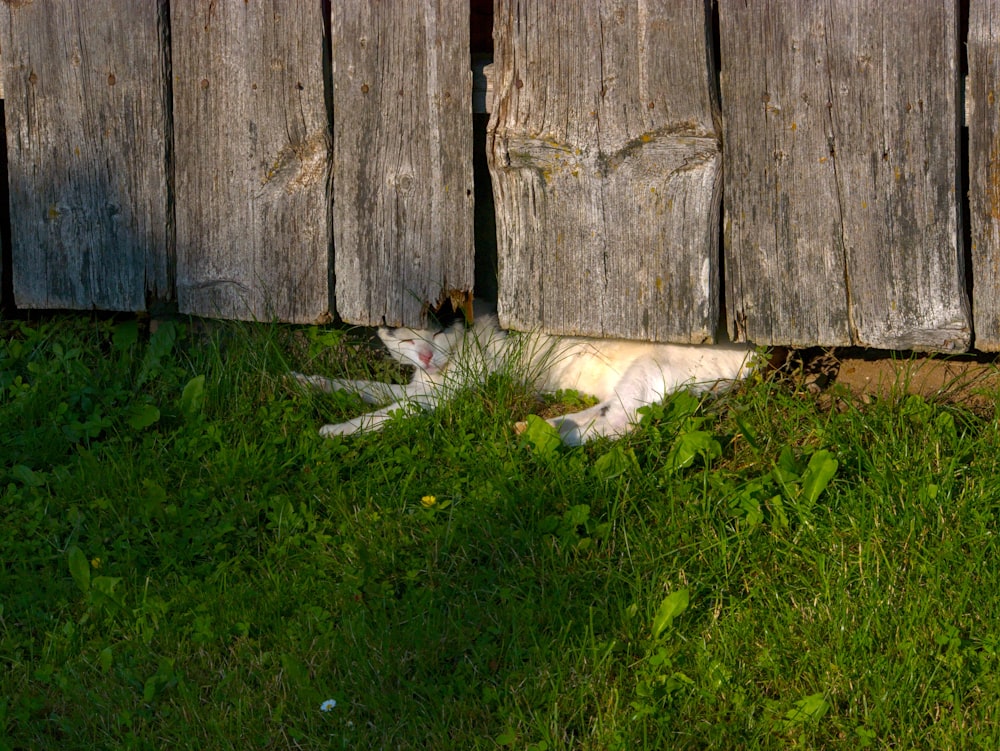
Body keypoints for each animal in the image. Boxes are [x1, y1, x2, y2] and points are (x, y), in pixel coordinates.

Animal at [292, 308, 752, 444]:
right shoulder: (418, 386)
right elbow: (364, 389)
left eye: (438, 333)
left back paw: (541, 437)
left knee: (619, 425)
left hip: (652, 367)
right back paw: (534, 428)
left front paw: (334, 430)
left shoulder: (436, 398)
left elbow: (385, 413)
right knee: (607, 414)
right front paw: (304, 380)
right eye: (404, 339)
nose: (425, 356)